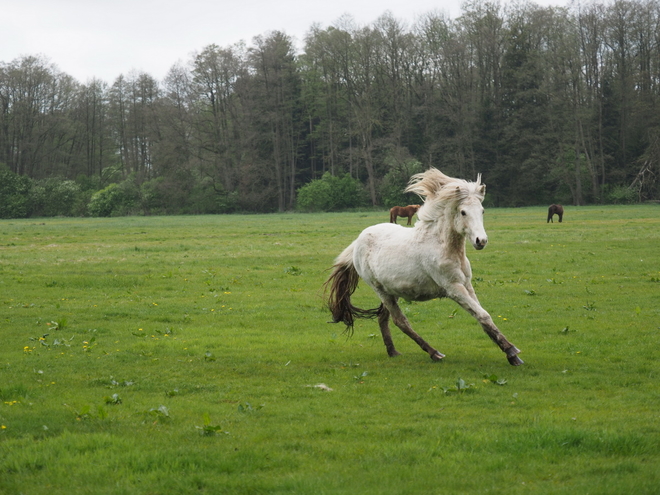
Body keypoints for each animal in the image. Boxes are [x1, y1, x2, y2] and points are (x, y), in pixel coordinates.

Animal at [324, 169, 520, 366]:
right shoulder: (454, 289)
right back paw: (434, 353)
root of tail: (358, 241)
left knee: (383, 318)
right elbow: (482, 315)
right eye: (463, 212)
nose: (481, 241)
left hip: (391, 291)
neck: (443, 247)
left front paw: (509, 351)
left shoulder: (467, 285)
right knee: (400, 321)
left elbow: (482, 316)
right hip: (381, 290)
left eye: (482, 210)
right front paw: (511, 352)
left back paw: (393, 351)